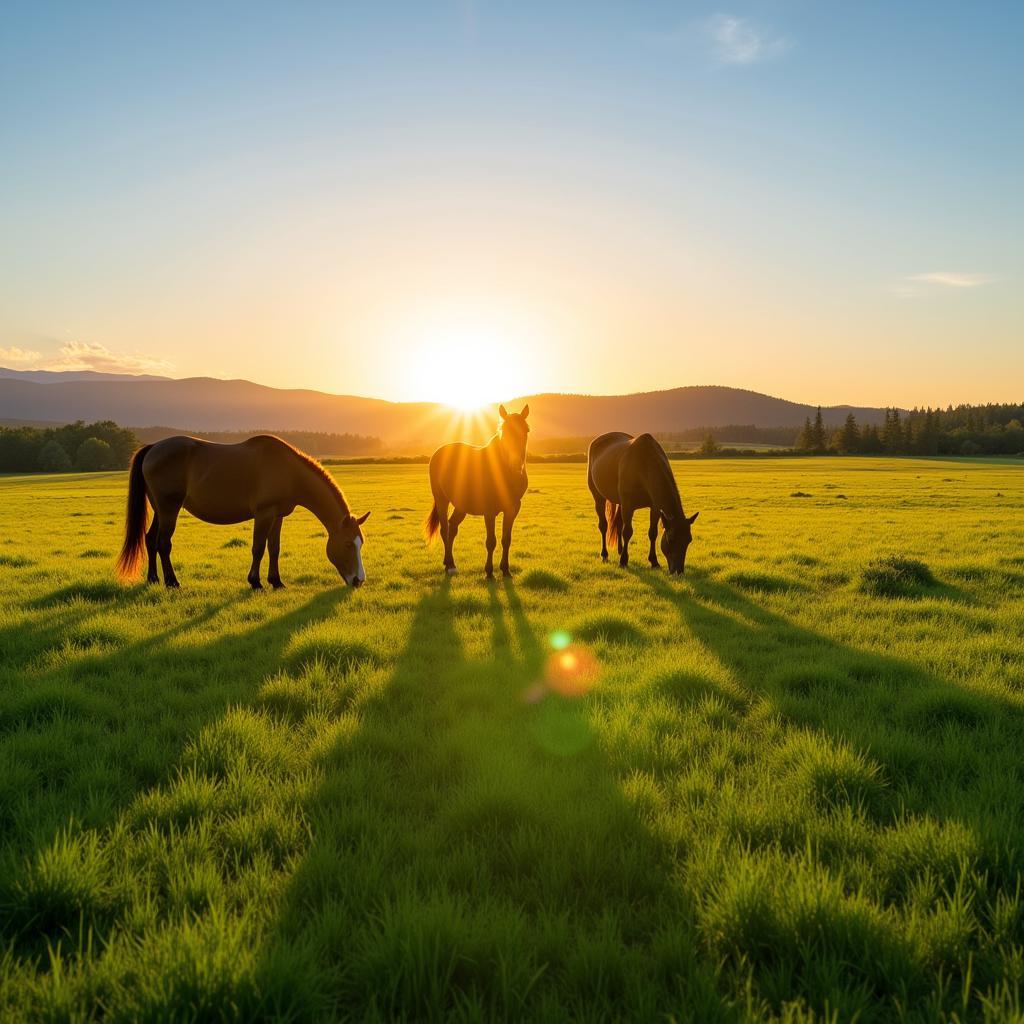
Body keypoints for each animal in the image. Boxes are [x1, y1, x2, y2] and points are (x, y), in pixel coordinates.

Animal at [114, 436, 370, 589]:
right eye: (348, 544)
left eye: (361, 543)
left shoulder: (278, 516)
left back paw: (153, 579)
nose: (358, 580)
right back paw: (171, 582)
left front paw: (276, 581)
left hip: (160, 509)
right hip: (169, 508)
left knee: (150, 539)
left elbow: (274, 548)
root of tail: (153, 448)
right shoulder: (264, 514)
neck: (289, 471)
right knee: (163, 543)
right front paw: (255, 582)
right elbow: (258, 548)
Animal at [423, 403, 532, 577]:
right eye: (504, 431)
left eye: (526, 430)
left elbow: (506, 540)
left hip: (461, 505)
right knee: (445, 529)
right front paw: (489, 572)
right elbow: (491, 541)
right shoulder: (489, 510)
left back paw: (451, 563)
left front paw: (506, 570)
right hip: (441, 499)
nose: (516, 464)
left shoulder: (513, 508)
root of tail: (439, 452)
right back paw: (449, 565)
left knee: (452, 528)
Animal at [589, 430, 700, 577]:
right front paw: (623, 561)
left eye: (689, 540)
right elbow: (627, 532)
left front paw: (654, 562)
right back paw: (605, 554)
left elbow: (652, 533)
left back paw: (620, 550)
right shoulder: (628, 505)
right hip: (598, 497)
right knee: (603, 525)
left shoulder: (655, 507)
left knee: (618, 523)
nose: (678, 571)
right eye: (671, 539)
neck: (644, 464)